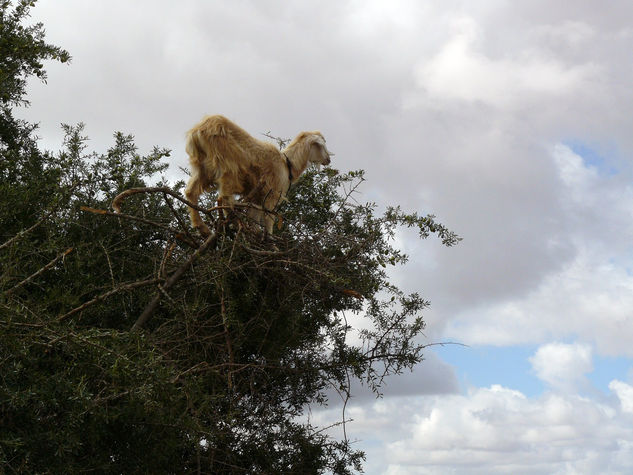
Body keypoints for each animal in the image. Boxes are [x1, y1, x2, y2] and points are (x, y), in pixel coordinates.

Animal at [183, 114, 330, 236]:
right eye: (321, 145)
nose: (328, 160)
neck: (288, 164)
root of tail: (199, 130)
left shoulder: (257, 199)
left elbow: (255, 221)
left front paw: (257, 236)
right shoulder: (272, 196)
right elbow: (269, 222)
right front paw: (271, 244)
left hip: (201, 167)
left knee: (191, 192)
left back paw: (203, 228)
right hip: (228, 166)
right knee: (225, 199)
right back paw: (235, 224)